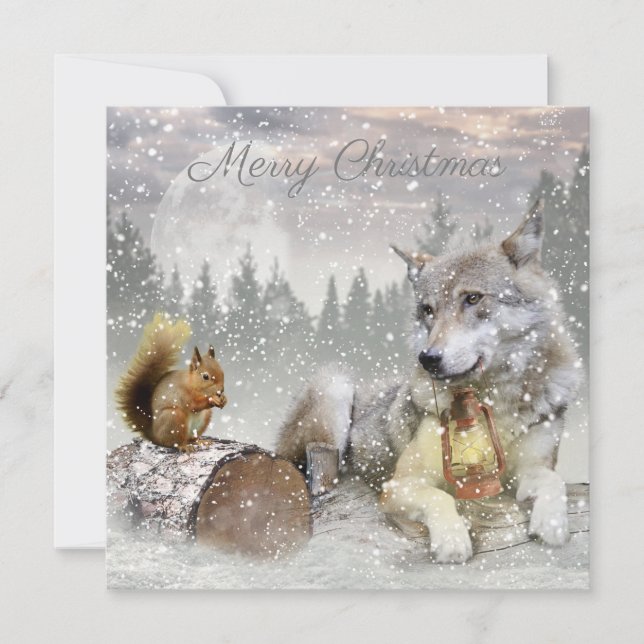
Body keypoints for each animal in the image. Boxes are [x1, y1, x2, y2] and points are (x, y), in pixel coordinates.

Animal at [115, 313, 227, 452]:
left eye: (222, 372)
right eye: (205, 376)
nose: (221, 390)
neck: (192, 384)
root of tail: (154, 435)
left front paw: (224, 399)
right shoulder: (183, 394)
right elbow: (194, 405)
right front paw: (212, 399)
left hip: (204, 418)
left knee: (192, 438)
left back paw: (201, 441)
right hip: (174, 417)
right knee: (173, 442)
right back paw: (184, 446)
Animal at [276, 200, 582, 563]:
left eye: (472, 299)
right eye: (428, 310)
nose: (428, 358)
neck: (492, 403)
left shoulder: (530, 467)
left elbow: (553, 481)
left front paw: (552, 524)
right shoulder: (400, 485)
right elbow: (441, 497)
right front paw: (452, 541)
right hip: (335, 383)